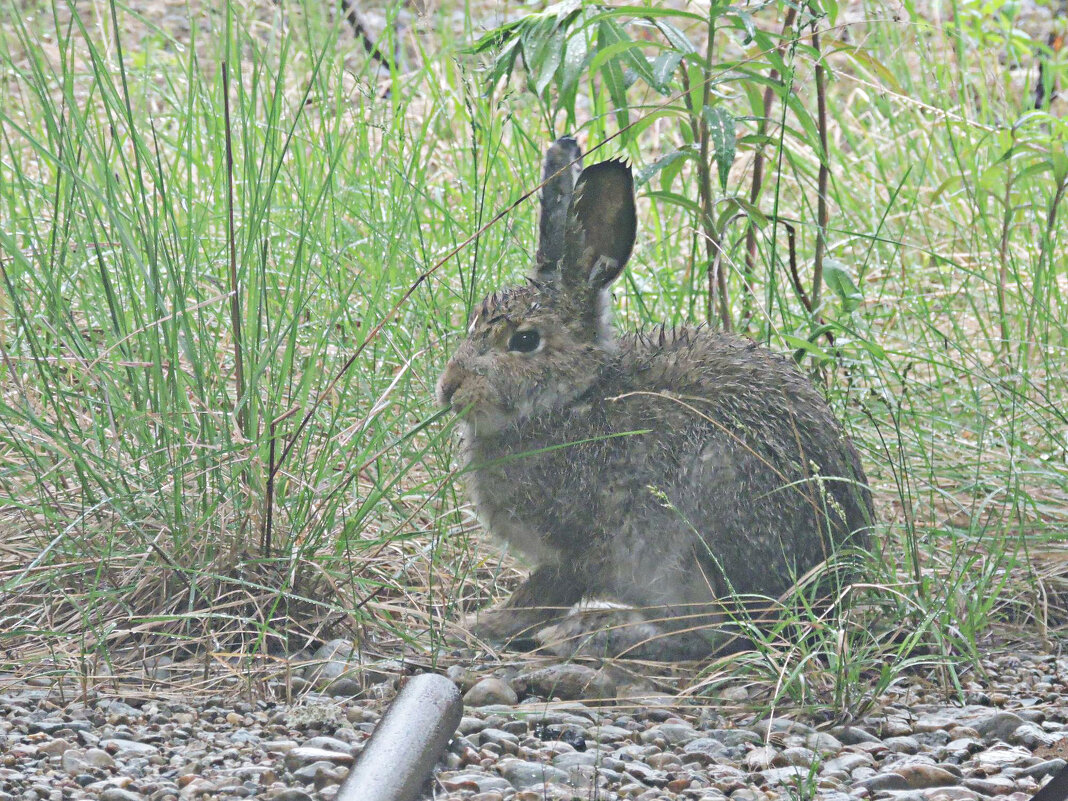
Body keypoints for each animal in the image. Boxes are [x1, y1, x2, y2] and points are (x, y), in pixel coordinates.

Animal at [437, 137, 871, 662]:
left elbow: (541, 593)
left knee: (711, 635)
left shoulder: (580, 547)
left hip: (685, 555)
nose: (449, 387)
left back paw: (597, 632)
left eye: (524, 341)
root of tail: (830, 587)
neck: (573, 397)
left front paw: (475, 626)